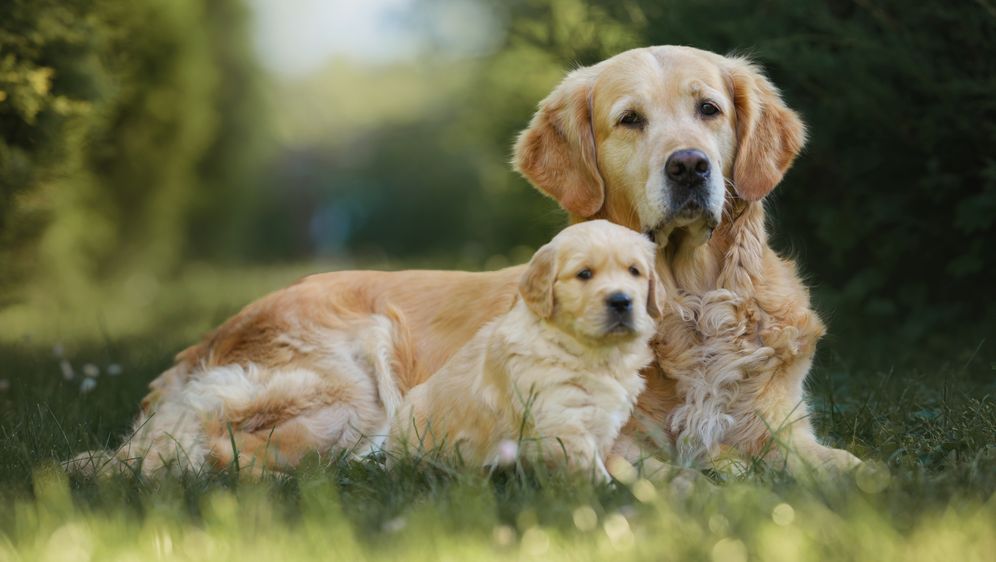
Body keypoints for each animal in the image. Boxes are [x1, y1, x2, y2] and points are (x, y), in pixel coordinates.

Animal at [390, 220, 660, 476]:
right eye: (584, 274)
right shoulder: (560, 421)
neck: (591, 353)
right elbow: (592, 472)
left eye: (634, 271)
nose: (621, 301)